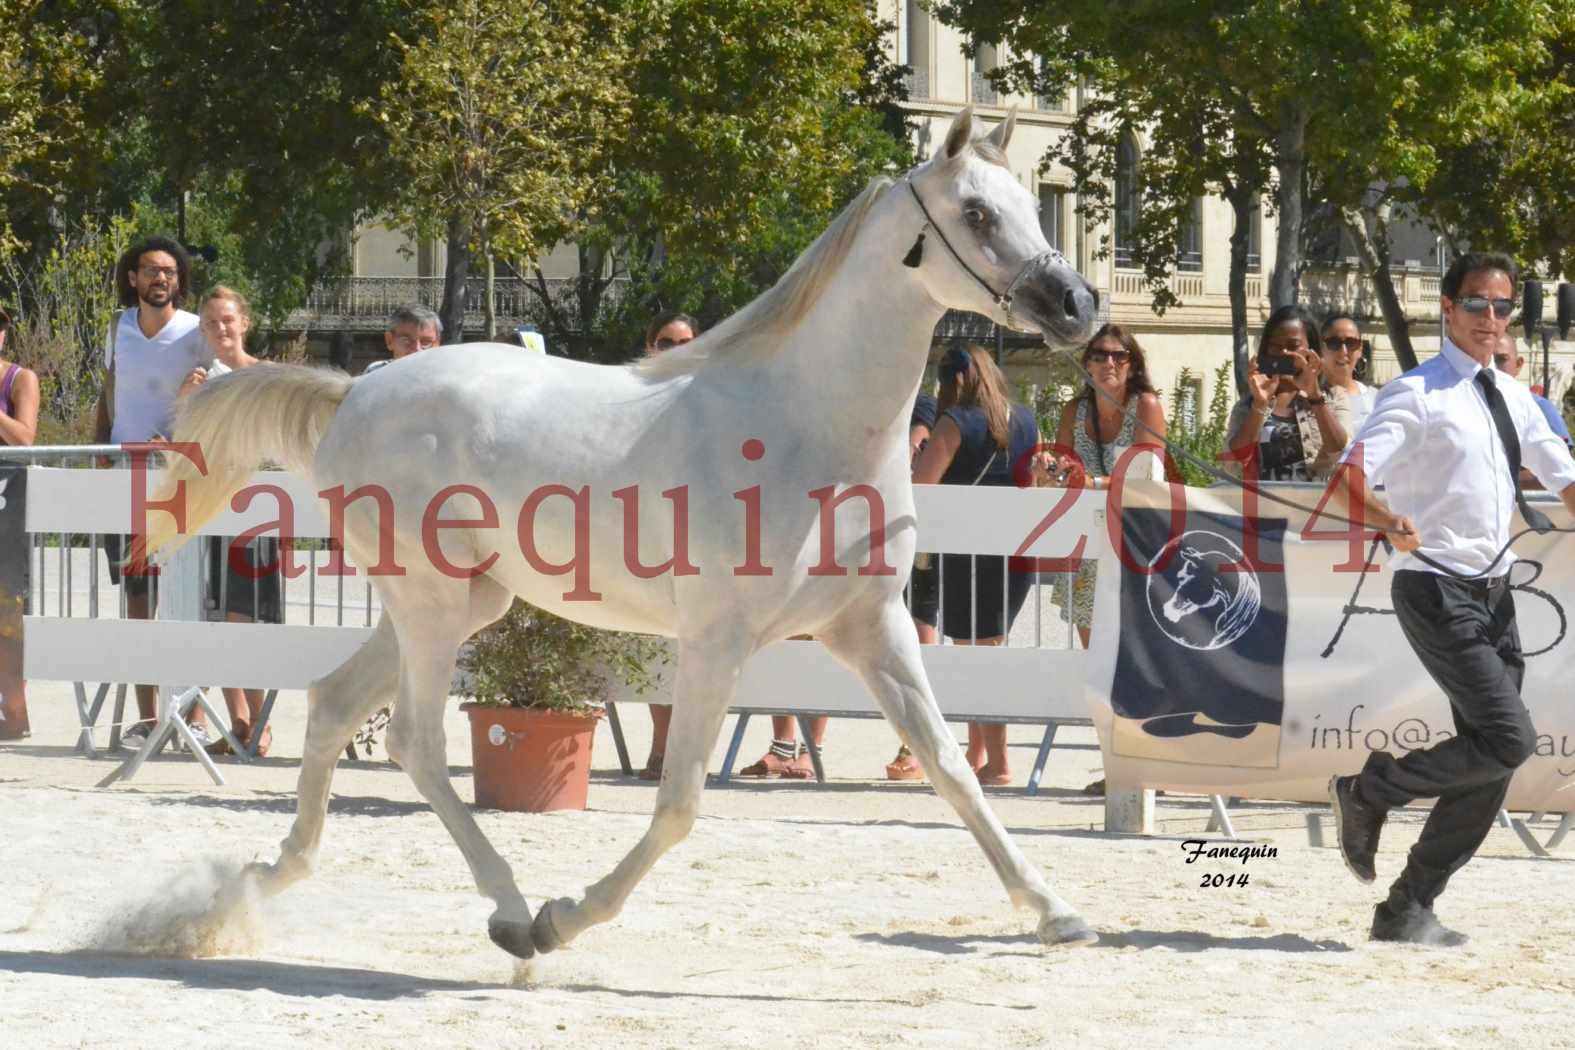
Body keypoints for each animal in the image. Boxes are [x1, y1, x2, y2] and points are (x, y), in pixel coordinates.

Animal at [153, 107, 1102, 963]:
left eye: (1031, 204)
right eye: (975, 213)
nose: (1077, 304)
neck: (805, 425)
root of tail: (355, 390)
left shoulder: (872, 627)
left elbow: (951, 766)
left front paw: (1058, 915)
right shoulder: (717, 642)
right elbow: (678, 804)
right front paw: (565, 917)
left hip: (460, 603)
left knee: (330, 704)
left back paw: (250, 888)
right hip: (431, 607)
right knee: (412, 742)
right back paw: (512, 915)